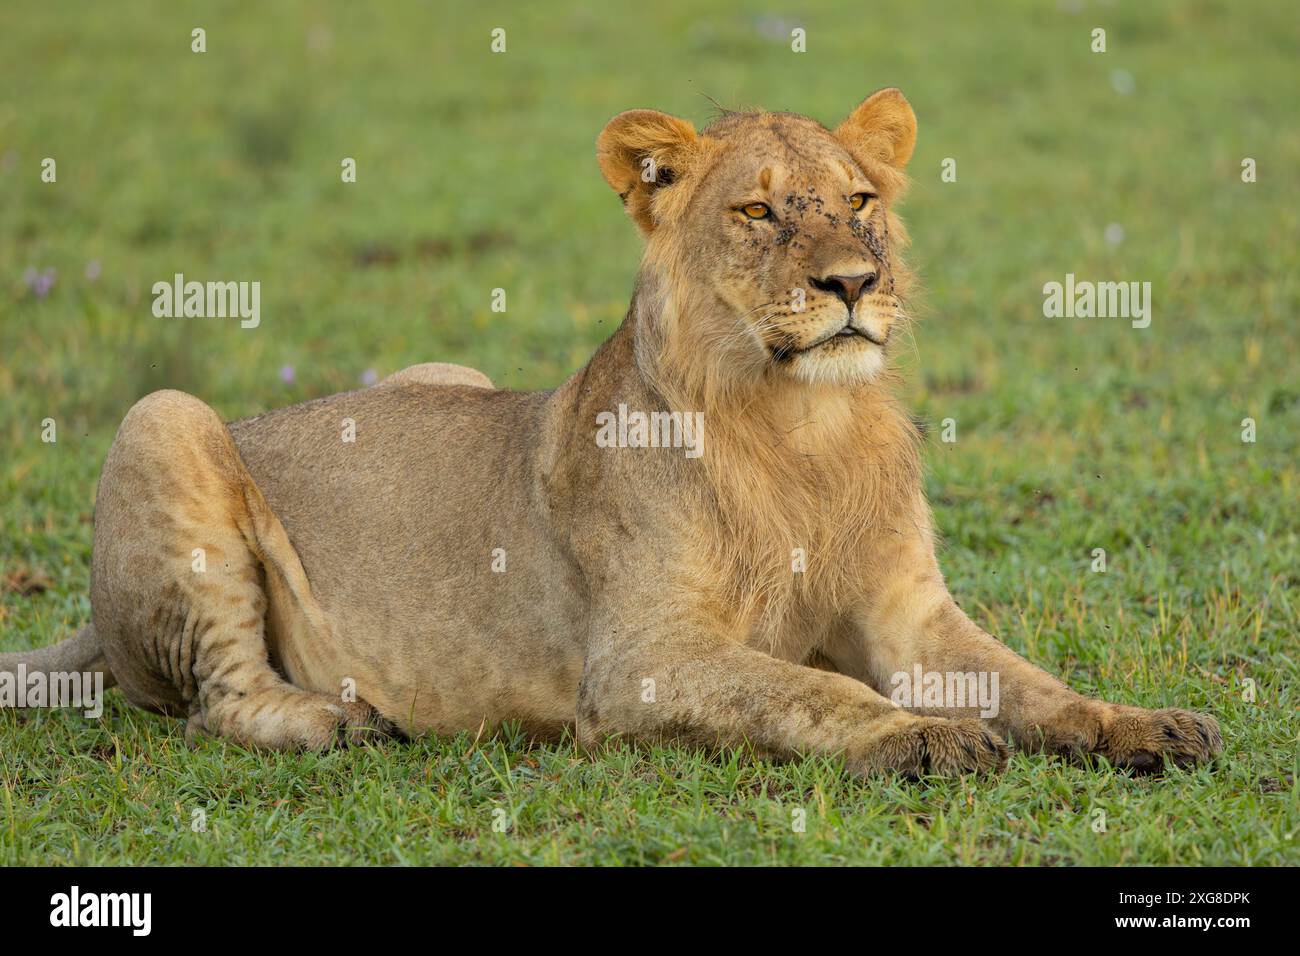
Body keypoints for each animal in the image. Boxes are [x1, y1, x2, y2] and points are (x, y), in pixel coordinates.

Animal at [1, 89, 1221, 775]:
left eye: (860, 200)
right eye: (758, 211)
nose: (853, 283)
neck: (805, 428)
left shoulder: (910, 615)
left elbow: (1033, 683)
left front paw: (1146, 724)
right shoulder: (637, 662)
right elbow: (811, 689)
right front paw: (913, 735)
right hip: (164, 419)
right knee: (214, 702)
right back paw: (340, 725)